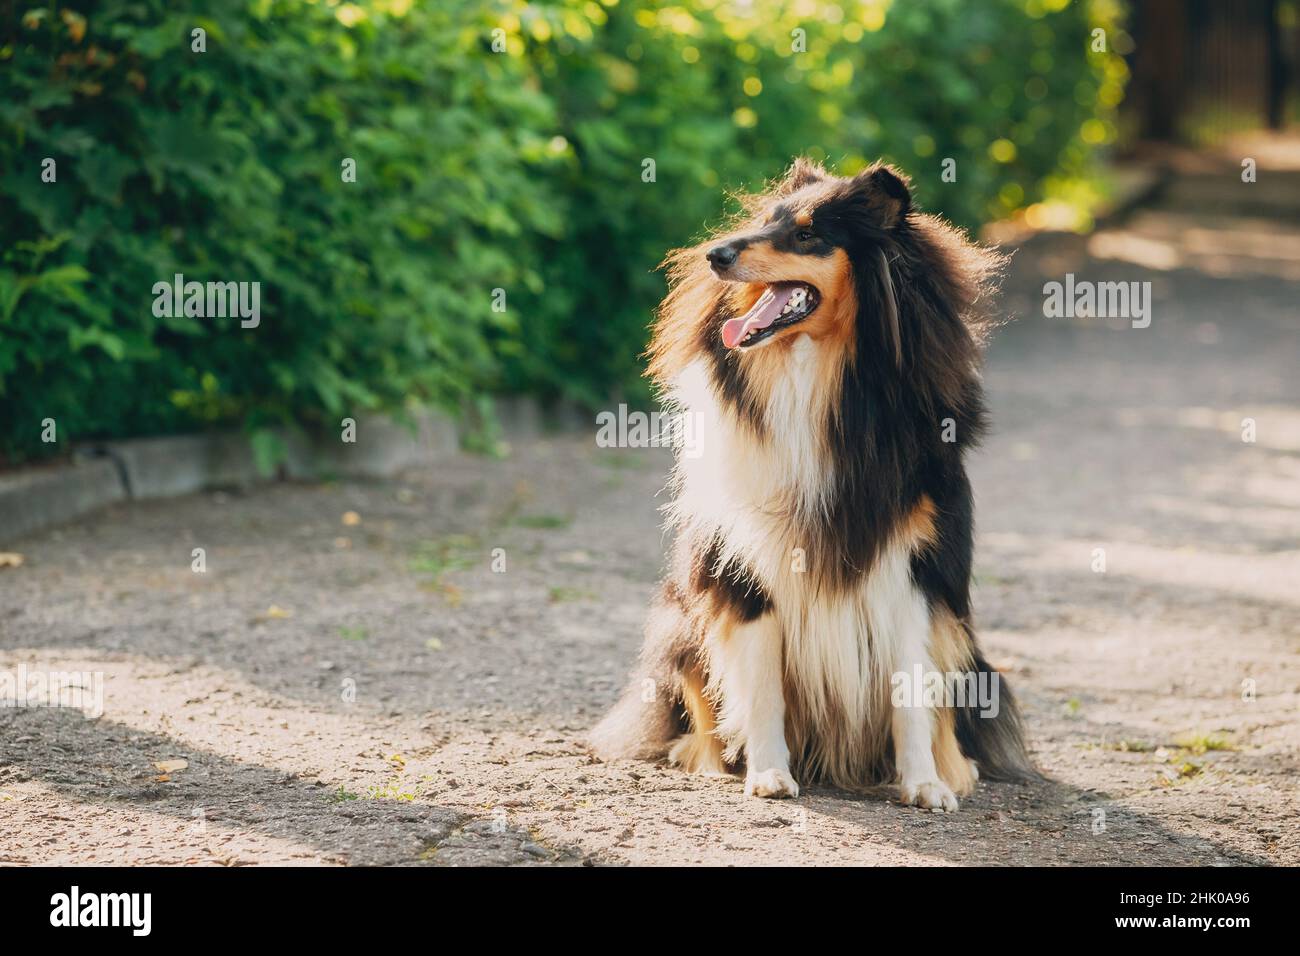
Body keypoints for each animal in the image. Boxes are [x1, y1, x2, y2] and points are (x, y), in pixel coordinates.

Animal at [592, 157, 1034, 806]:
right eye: (764, 222)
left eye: (806, 234)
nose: (715, 255)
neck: (816, 370)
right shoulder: (742, 565)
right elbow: (761, 686)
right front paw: (769, 775)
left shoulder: (915, 568)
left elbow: (912, 690)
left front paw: (924, 784)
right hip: (680, 619)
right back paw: (703, 755)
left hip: (970, 647)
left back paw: (957, 767)